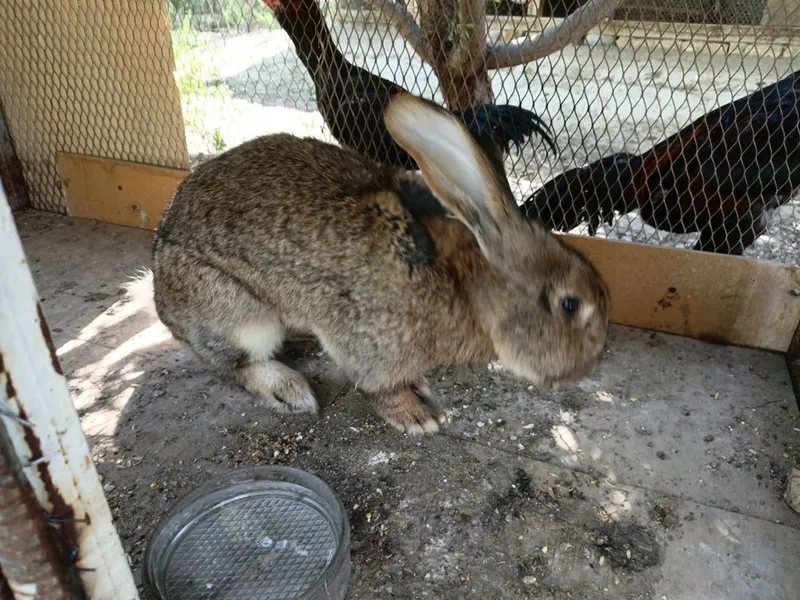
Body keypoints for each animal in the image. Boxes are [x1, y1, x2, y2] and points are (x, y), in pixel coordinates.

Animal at [151, 93, 610, 435]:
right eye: (570, 304)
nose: (589, 366)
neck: (470, 288)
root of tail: (160, 294)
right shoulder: (368, 342)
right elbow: (378, 388)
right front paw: (415, 416)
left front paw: (421, 389)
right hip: (238, 315)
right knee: (235, 365)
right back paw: (288, 389)